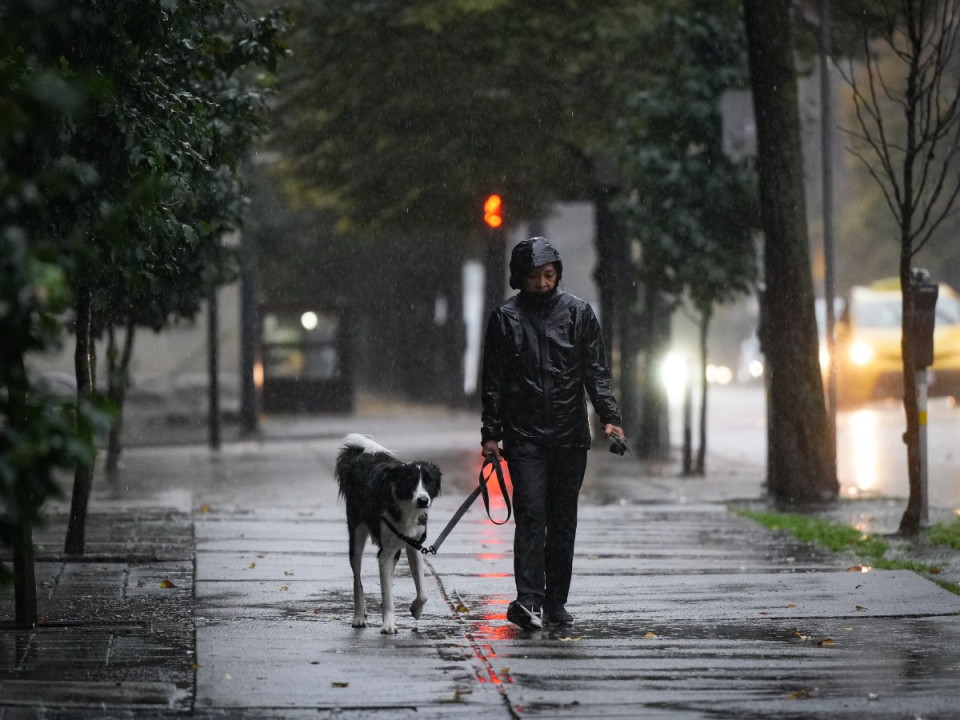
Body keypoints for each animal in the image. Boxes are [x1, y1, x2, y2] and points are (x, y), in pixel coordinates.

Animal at [334, 434, 442, 632]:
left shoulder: (413, 546)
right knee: (357, 579)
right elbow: (386, 592)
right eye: (411, 481)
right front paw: (389, 624)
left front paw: (416, 609)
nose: (423, 500)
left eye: (429, 480)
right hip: (357, 535)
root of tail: (360, 456)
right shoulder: (385, 553)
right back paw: (359, 616)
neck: (407, 508)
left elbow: (422, 591)